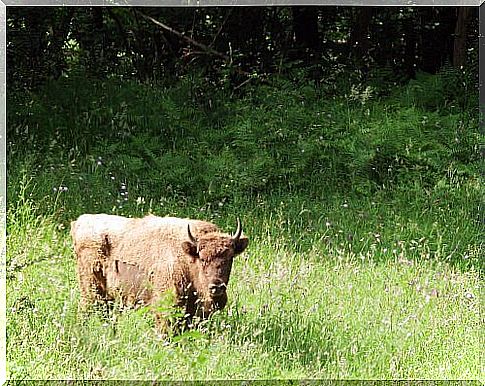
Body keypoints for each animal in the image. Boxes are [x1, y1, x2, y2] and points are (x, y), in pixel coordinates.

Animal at [70, 214, 248, 328]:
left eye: (230, 258)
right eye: (202, 258)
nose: (217, 287)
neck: (186, 259)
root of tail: (80, 221)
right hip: (91, 290)